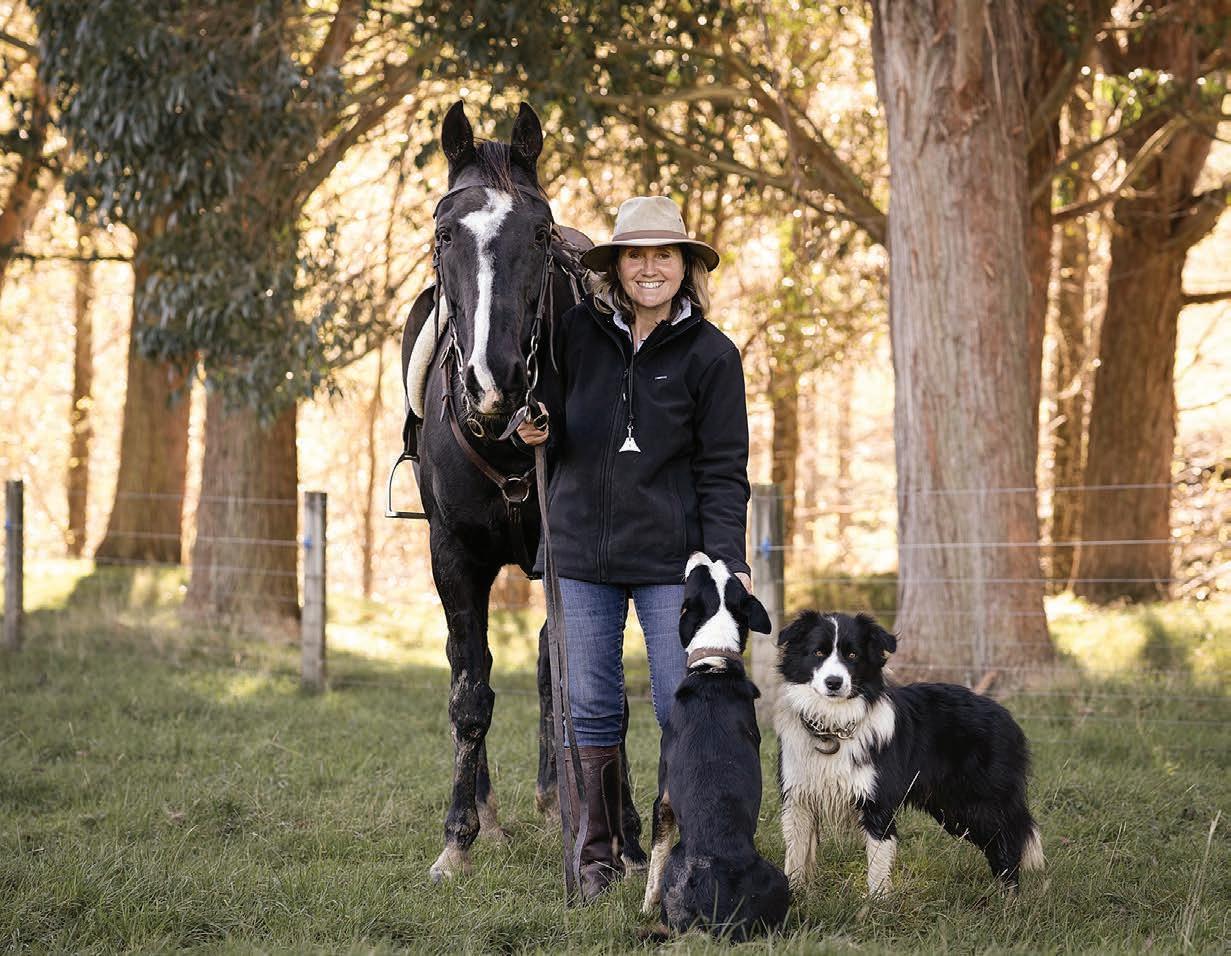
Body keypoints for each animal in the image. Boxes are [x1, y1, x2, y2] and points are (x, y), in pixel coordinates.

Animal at [398, 101, 645, 883]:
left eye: (538, 233)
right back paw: (492, 817)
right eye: (445, 232)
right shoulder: (452, 556)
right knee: (468, 666)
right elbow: (470, 693)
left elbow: (588, 683)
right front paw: (458, 837)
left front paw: (626, 837)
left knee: (547, 665)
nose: (492, 379)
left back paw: (552, 799)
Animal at [640, 553, 789, 940]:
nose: (702, 553)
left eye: (698, 573)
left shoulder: (663, 799)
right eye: (712, 571)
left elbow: (655, 861)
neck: (715, 664)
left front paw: (645, 906)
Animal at [775, 610, 1044, 894]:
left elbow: (878, 860)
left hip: (979, 802)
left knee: (1007, 841)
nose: (834, 683)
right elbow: (796, 854)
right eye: (818, 652)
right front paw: (795, 894)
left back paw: (1008, 897)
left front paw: (877, 902)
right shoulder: (798, 799)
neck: (833, 726)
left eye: (852, 655)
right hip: (952, 807)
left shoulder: (878, 800)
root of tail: (1006, 716)